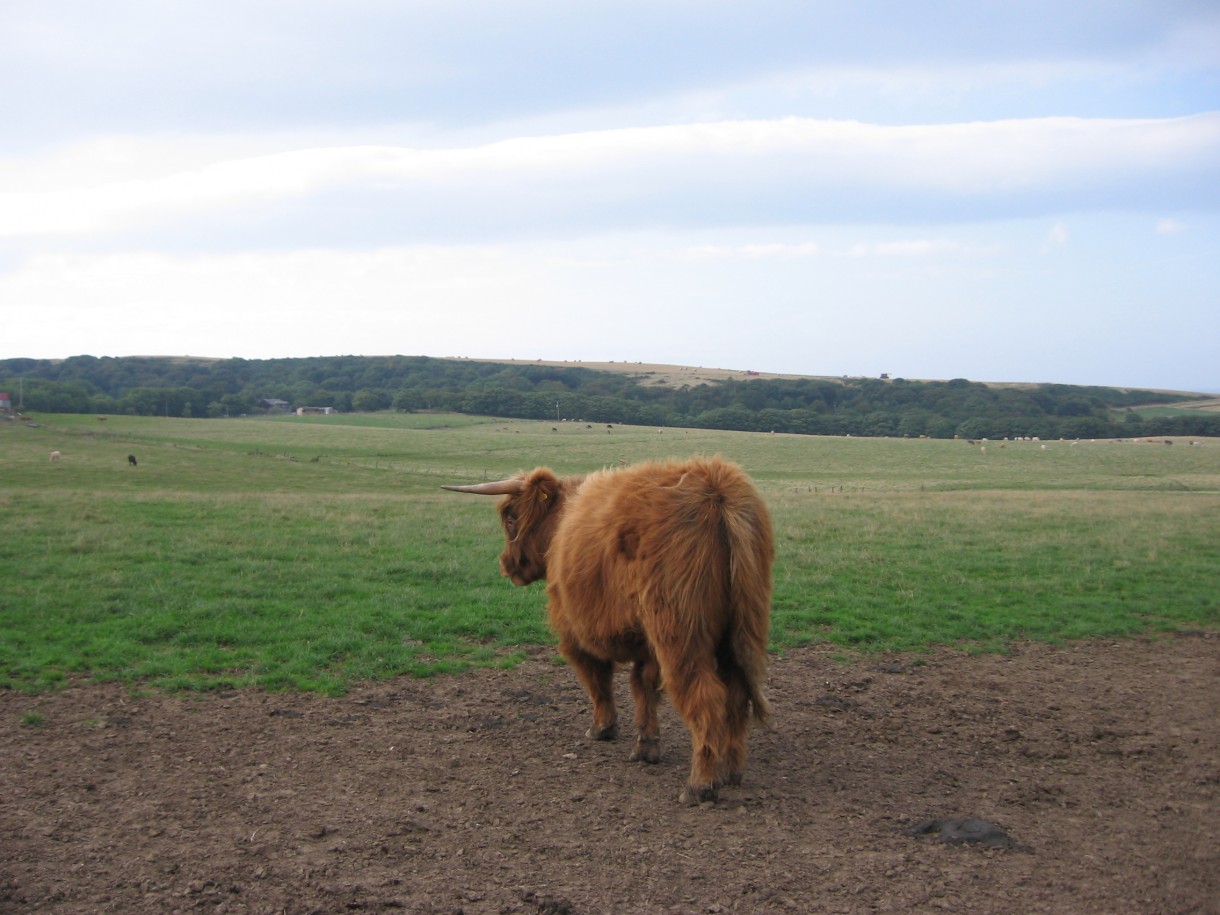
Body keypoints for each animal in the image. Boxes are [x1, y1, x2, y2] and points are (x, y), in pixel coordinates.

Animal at [448, 456, 771, 805]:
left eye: (511, 519)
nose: (506, 564)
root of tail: (716, 486)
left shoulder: (574, 630)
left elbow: (597, 680)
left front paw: (602, 728)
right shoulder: (645, 641)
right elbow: (643, 686)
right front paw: (646, 747)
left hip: (681, 636)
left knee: (706, 697)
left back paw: (701, 784)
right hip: (740, 631)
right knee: (737, 693)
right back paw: (731, 771)